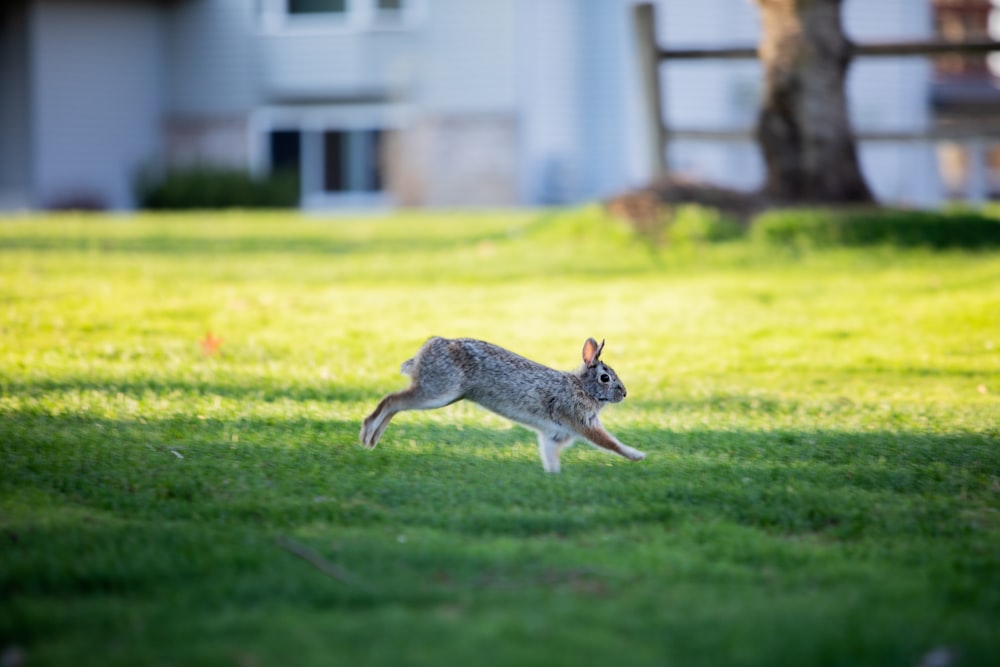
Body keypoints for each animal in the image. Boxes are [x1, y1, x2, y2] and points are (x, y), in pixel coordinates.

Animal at [362, 336, 648, 472]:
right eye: (605, 377)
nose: (624, 393)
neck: (582, 387)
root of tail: (429, 347)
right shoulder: (582, 421)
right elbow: (610, 443)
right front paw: (638, 456)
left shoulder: (553, 436)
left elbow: (550, 457)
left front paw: (553, 476)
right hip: (438, 391)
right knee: (392, 400)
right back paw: (367, 435)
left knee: (395, 404)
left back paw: (371, 441)